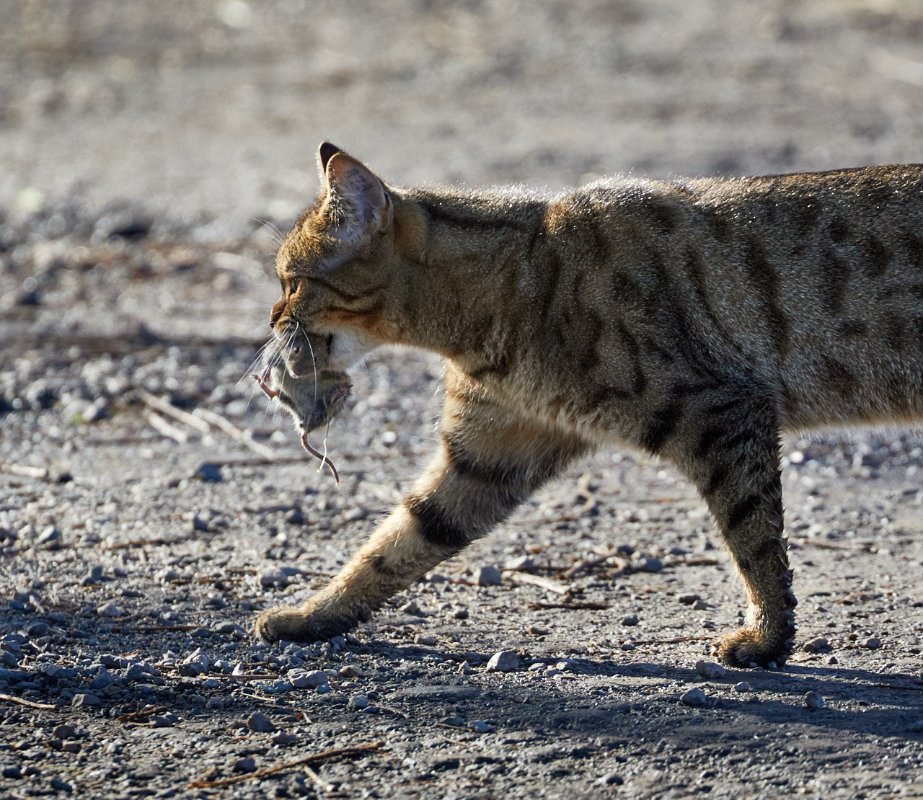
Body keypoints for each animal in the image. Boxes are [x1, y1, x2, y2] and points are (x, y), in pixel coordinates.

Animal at [254, 141, 923, 667]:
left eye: (292, 281)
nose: (272, 317)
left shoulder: (722, 411)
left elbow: (755, 541)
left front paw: (768, 639)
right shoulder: (490, 452)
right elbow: (395, 543)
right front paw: (310, 617)